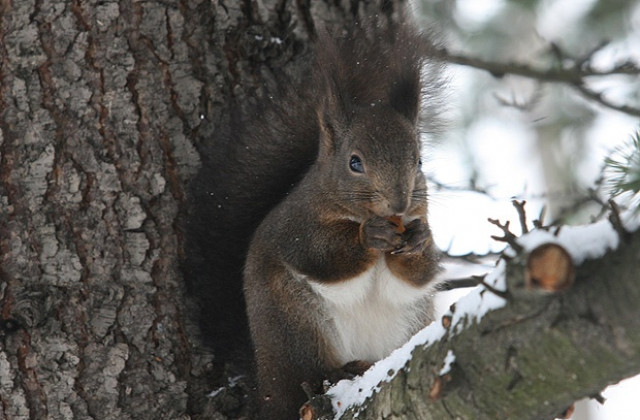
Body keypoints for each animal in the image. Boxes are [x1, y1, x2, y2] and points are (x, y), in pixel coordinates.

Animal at [185, 13, 442, 420]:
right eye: (355, 163)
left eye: (418, 160)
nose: (399, 204)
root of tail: (265, 388)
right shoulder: (296, 226)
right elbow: (321, 256)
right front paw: (368, 237)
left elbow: (419, 274)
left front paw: (419, 241)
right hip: (297, 329)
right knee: (309, 374)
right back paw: (341, 372)